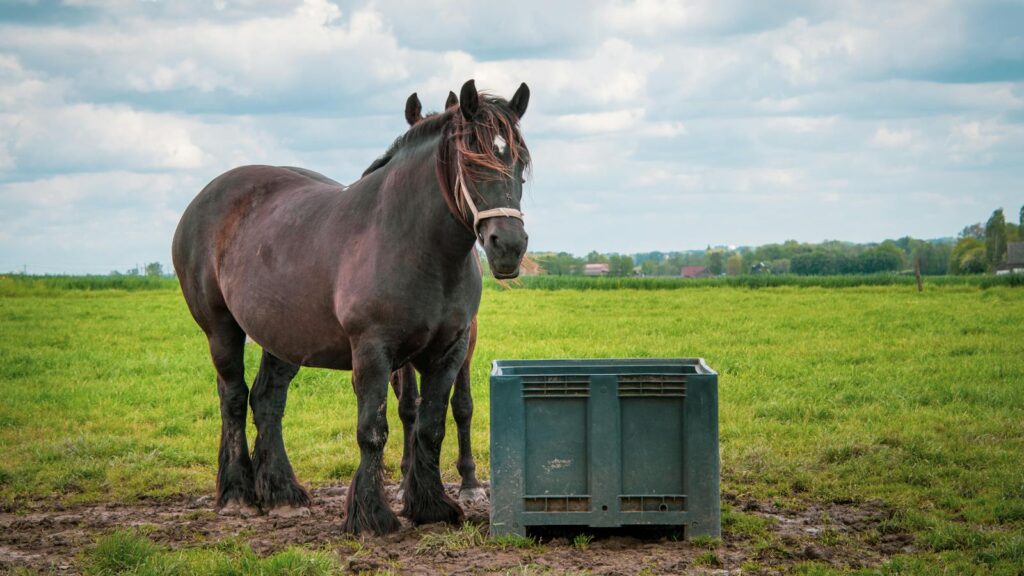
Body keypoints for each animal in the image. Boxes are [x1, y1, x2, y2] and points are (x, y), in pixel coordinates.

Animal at [172, 79, 531, 535]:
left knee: (267, 401)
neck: (416, 244)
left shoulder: (448, 351)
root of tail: (205, 198)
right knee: (233, 398)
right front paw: (372, 514)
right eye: (472, 161)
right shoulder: (374, 351)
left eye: (519, 163)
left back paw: (282, 493)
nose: (509, 246)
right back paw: (238, 495)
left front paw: (431, 506)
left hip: (284, 339)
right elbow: (372, 430)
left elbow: (431, 426)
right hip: (221, 330)